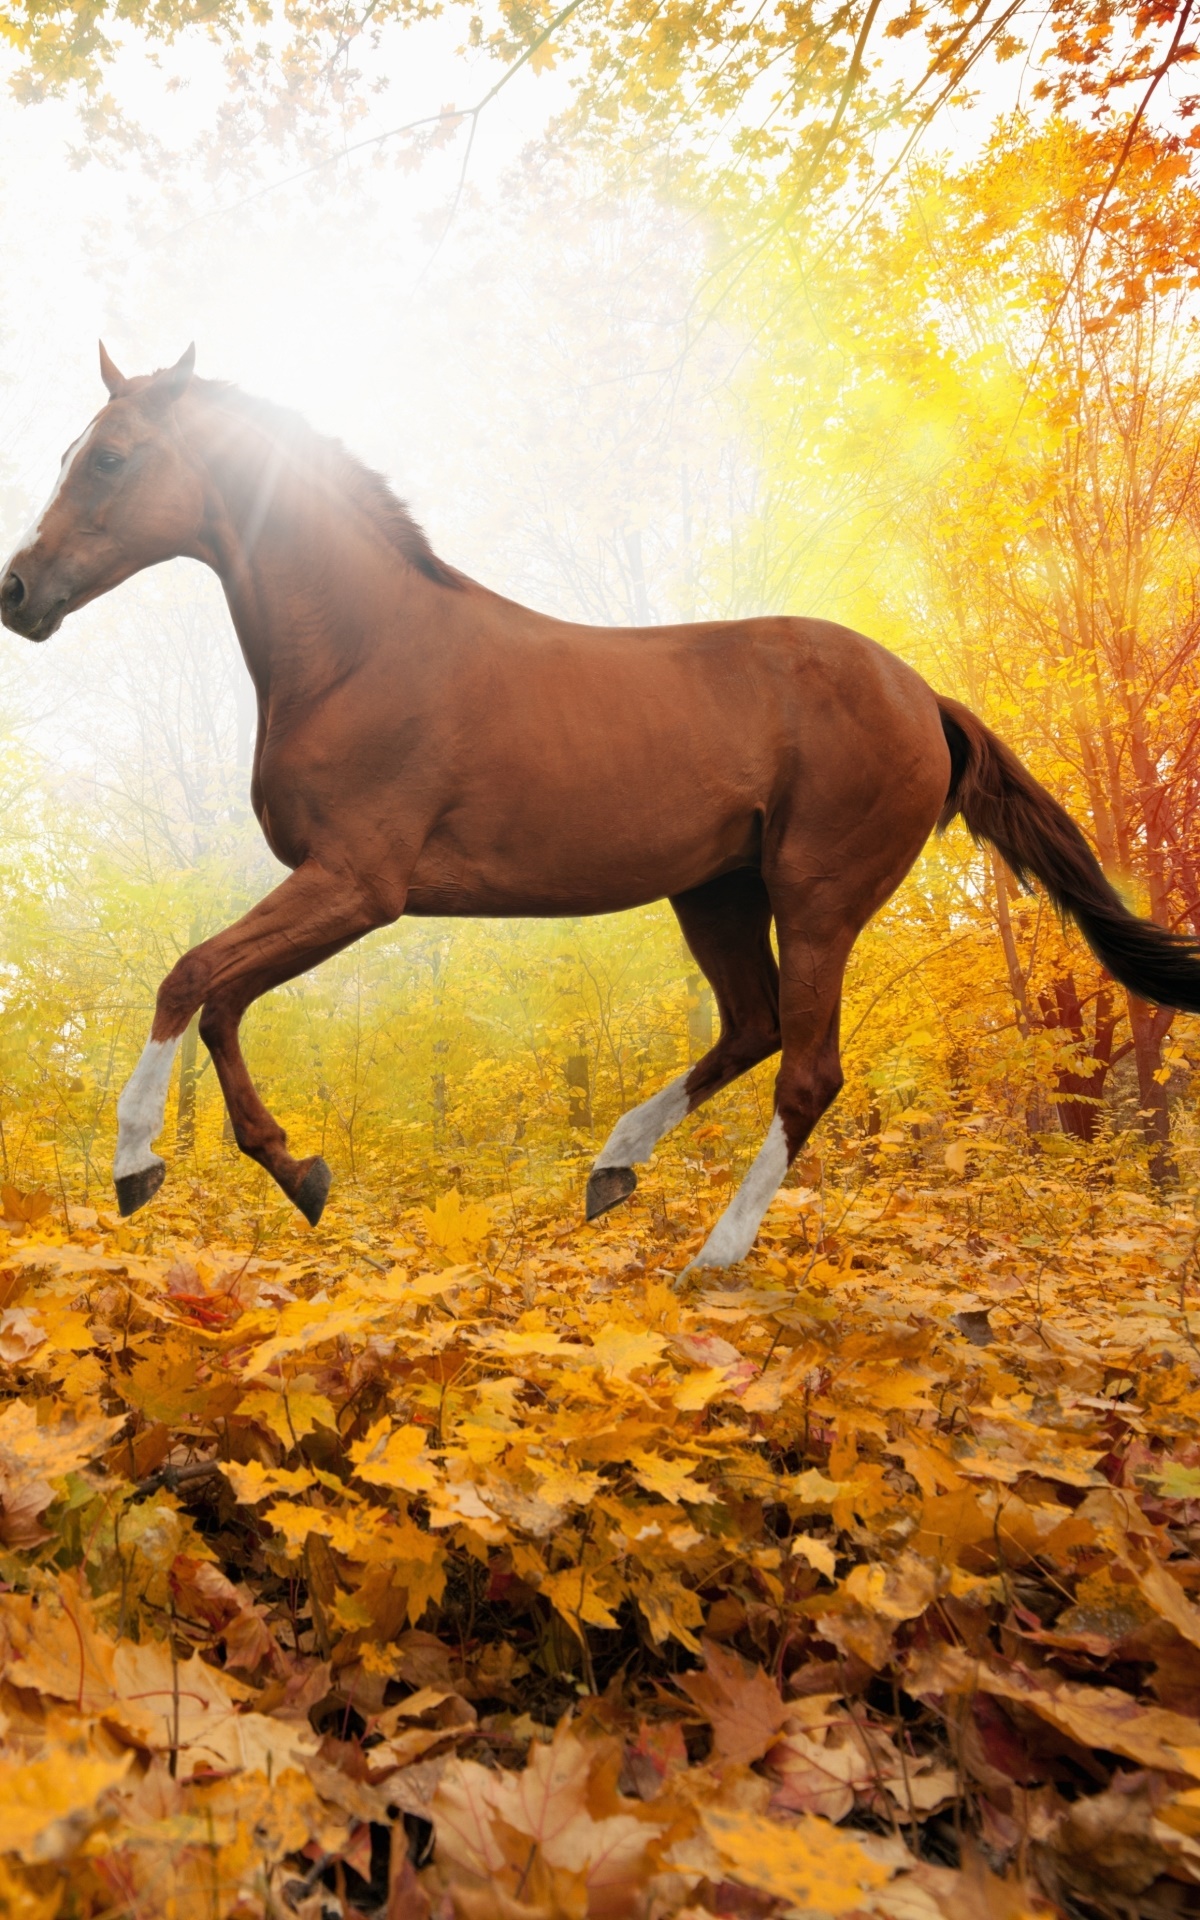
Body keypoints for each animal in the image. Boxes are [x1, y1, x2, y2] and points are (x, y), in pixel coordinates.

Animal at [4, 345, 1200, 1269]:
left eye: (109, 458)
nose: (18, 592)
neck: (362, 650)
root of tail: (924, 698)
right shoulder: (334, 890)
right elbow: (220, 1002)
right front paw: (299, 1170)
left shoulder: (357, 885)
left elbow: (191, 978)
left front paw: (137, 1164)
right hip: (715, 894)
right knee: (753, 1027)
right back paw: (612, 1168)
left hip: (816, 897)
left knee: (807, 1070)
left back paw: (711, 1256)